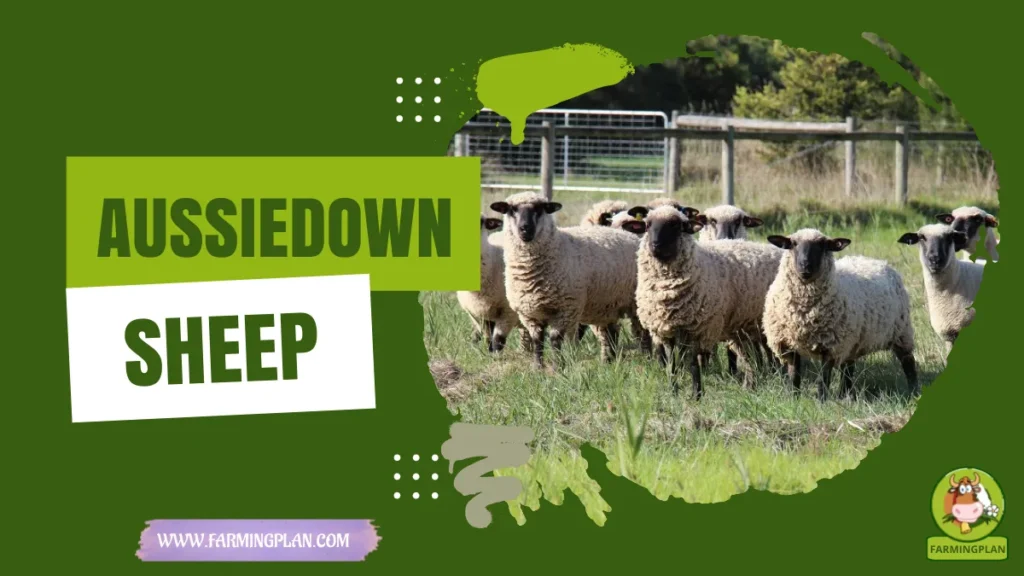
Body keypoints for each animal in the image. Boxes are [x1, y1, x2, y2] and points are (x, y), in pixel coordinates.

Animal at [456, 215, 531, 353]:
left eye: (480, 221)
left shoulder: (508, 311)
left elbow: (498, 340)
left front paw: (495, 355)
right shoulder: (477, 314)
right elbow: (488, 338)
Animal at [490, 192, 649, 368]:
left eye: (540, 209)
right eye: (512, 210)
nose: (525, 228)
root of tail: (632, 235)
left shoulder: (565, 308)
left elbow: (555, 338)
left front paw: (556, 365)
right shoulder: (529, 313)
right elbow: (537, 339)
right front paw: (538, 366)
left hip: (636, 302)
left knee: (642, 331)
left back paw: (648, 359)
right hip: (607, 304)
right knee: (611, 332)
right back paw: (609, 361)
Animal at [621, 205, 783, 399]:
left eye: (675, 225)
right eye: (647, 225)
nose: (655, 245)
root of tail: (772, 249)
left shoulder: (697, 327)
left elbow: (692, 362)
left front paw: (696, 394)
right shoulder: (666, 329)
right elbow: (671, 364)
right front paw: (673, 391)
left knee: (770, 352)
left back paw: (777, 377)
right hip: (743, 324)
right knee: (749, 355)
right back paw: (750, 385)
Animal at [763, 229, 918, 400]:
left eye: (822, 245)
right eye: (793, 244)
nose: (805, 266)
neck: (804, 314)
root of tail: (881, 262)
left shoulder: (830, 346)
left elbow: (823, 379)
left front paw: (821, 401)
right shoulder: (788, 345)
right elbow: (794, 376)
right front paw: (793, 399)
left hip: (901, 331)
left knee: (908, 362)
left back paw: (914, 392)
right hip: (853, 341)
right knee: (848, 369)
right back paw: (845, 395)